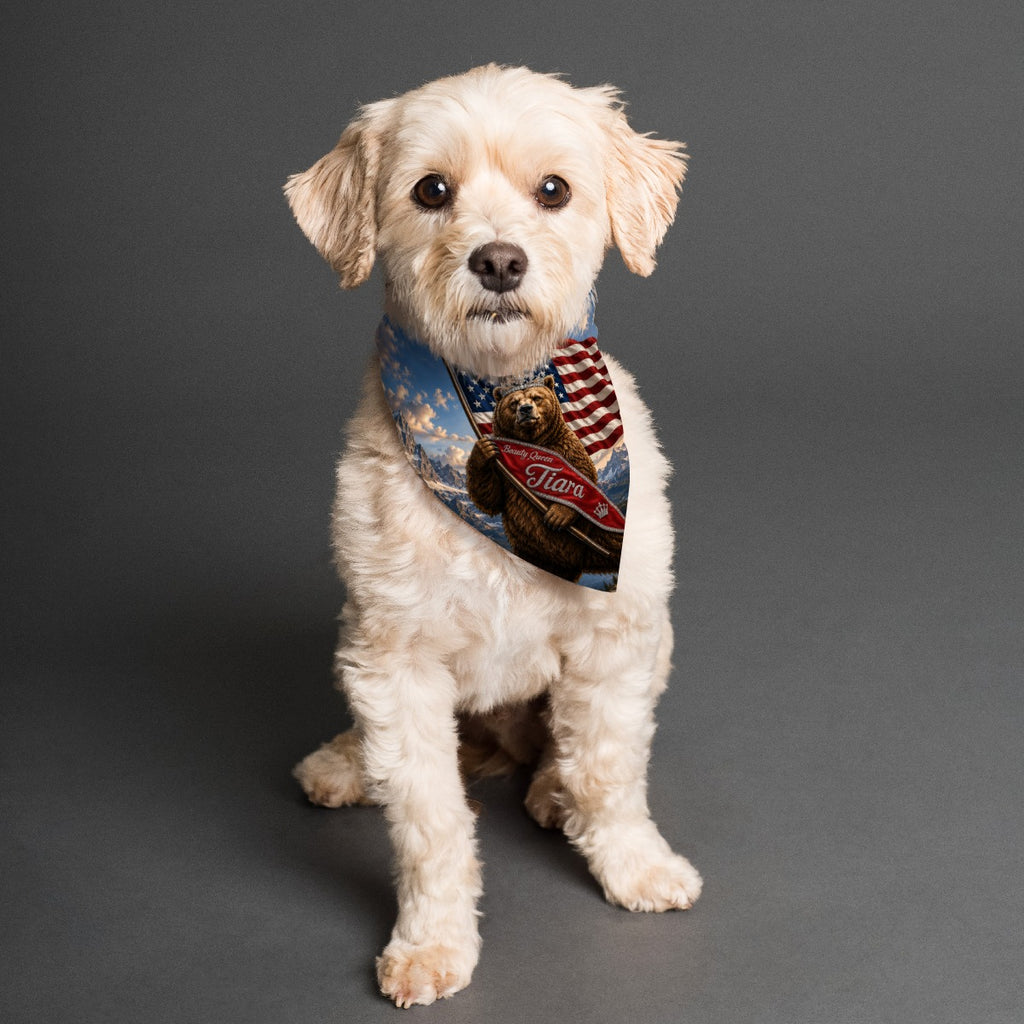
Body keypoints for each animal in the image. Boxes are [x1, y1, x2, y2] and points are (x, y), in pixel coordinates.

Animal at [465, 377, 623, 582]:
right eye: (513, 402)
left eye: (537, 397)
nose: (525, 409)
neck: (534, 441)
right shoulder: (505, 473)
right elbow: (490, 497)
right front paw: (484, 449)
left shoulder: (567, 450)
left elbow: (583, 484)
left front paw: (557, 515)